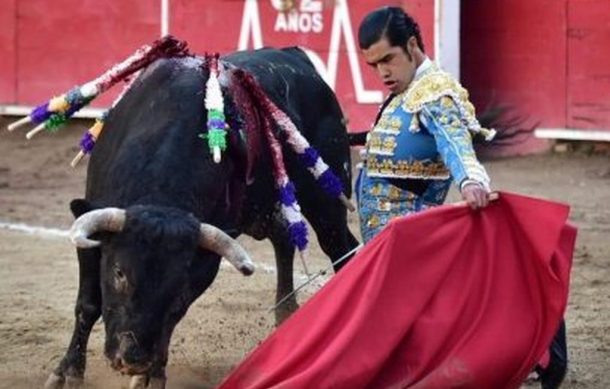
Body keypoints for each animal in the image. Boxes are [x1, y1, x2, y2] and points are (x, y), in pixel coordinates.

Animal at [46, 47, 360, 386]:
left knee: (341, 250)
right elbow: (88, 304)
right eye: (119, 272)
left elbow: (170, 320)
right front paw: (67, 373)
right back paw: (288, 315)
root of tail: (297, 56)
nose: (132, 359)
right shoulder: (92, 227)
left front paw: (152, 376)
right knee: (287, 241)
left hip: (327, 201)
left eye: (178, 284)